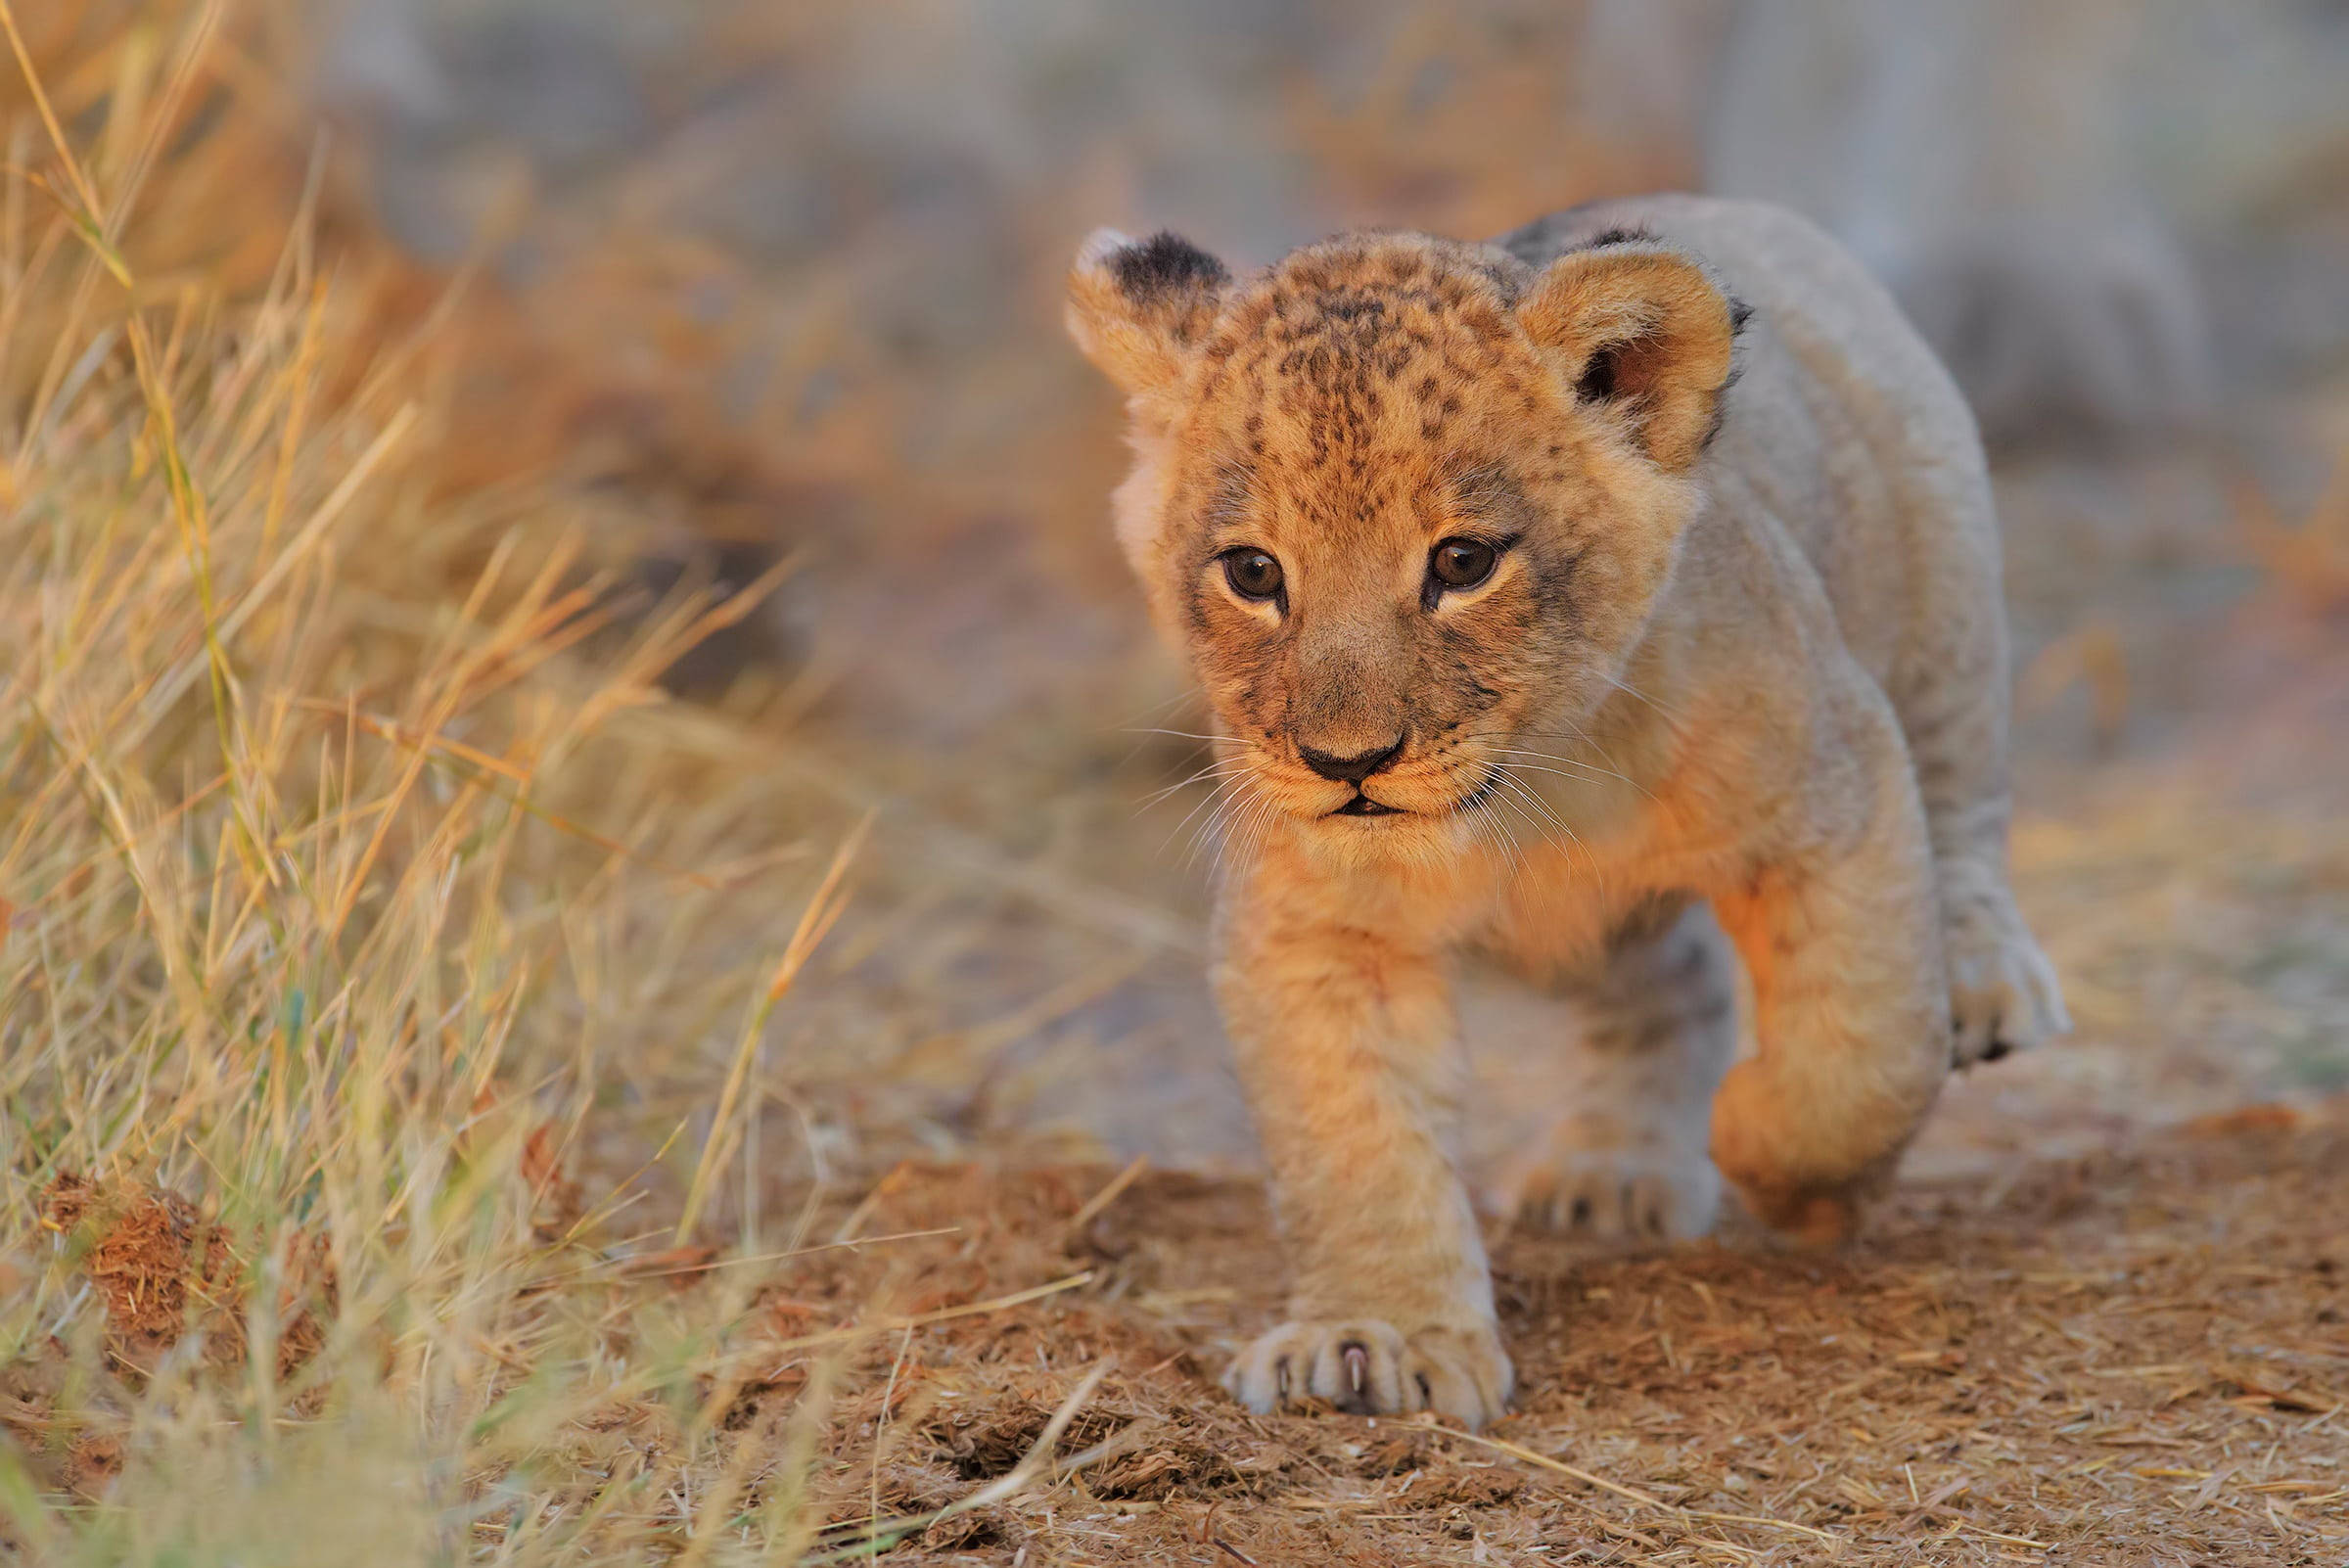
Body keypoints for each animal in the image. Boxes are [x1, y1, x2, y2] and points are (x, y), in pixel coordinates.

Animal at [1064, 194, 2069, 1429]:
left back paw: (1982, 982)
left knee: (1961, 807)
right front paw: (1375, 1338)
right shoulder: (1316, 928)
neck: (1531, 801)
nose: (1347, 763)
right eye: (1252, 572)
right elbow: (1353, 1137)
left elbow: (1866, 1046)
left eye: (1462, 562)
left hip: (1941, 594)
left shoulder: (1841, 786)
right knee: (1671, 982)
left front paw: (1782, 1165)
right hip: (1588, 932)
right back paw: (1616, 1171)